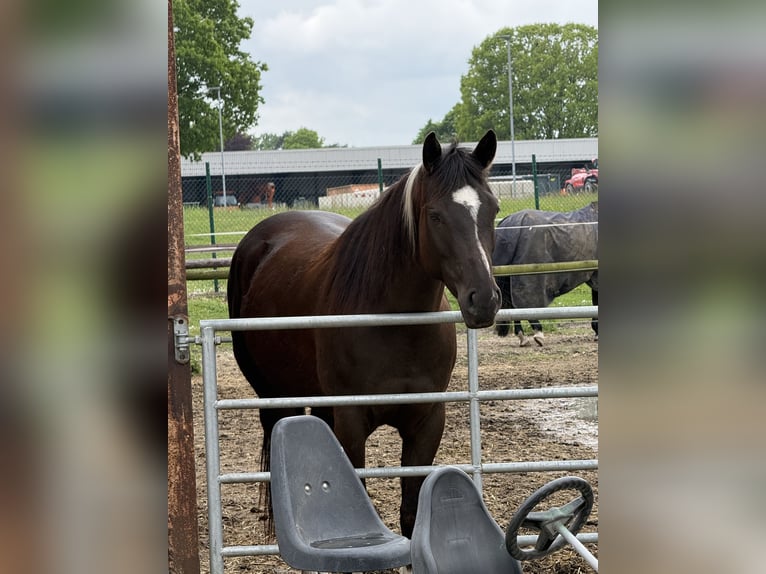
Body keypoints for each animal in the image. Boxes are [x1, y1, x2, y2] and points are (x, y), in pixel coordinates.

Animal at [227, 130, 501, 539]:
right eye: (435, 215)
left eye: (492, 209)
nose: (483, 299)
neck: (394, 325)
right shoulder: (352, 423)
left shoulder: (427, 423)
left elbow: (411, 514)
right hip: (275, 398)